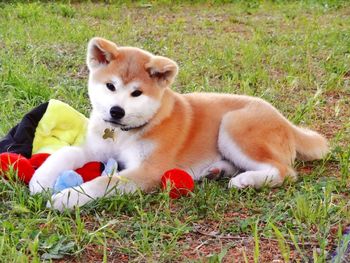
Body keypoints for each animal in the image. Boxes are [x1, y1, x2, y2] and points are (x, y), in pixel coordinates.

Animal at [28, 37, 330, 211]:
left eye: (137, 93)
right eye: (110, 86)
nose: (116, 111)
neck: (125, 134)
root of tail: (286, 122)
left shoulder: (148, 171)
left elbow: (103, 181)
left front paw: (67, 197)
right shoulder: (95, 148)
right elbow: (67, 152)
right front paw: (41, 178)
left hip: (232, 124)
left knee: (285, 171)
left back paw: (245, 180)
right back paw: (217, 171)